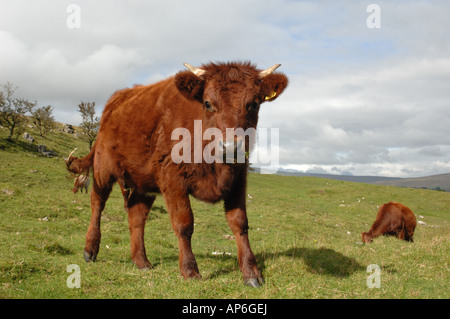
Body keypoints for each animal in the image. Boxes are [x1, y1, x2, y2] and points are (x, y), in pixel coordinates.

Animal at [65, 61, 288, 288]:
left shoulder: (238, 179)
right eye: (207, 103)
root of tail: (116, 99)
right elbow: (184, 224)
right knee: (97, 204)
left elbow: (240, 223)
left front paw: (251, 272)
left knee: (136, 215)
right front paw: (190, 270)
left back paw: (141, 261)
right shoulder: (173, 180)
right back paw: (90, 250)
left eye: (254, 104)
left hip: (143, 182)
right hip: (103, 169)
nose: (230, 148)